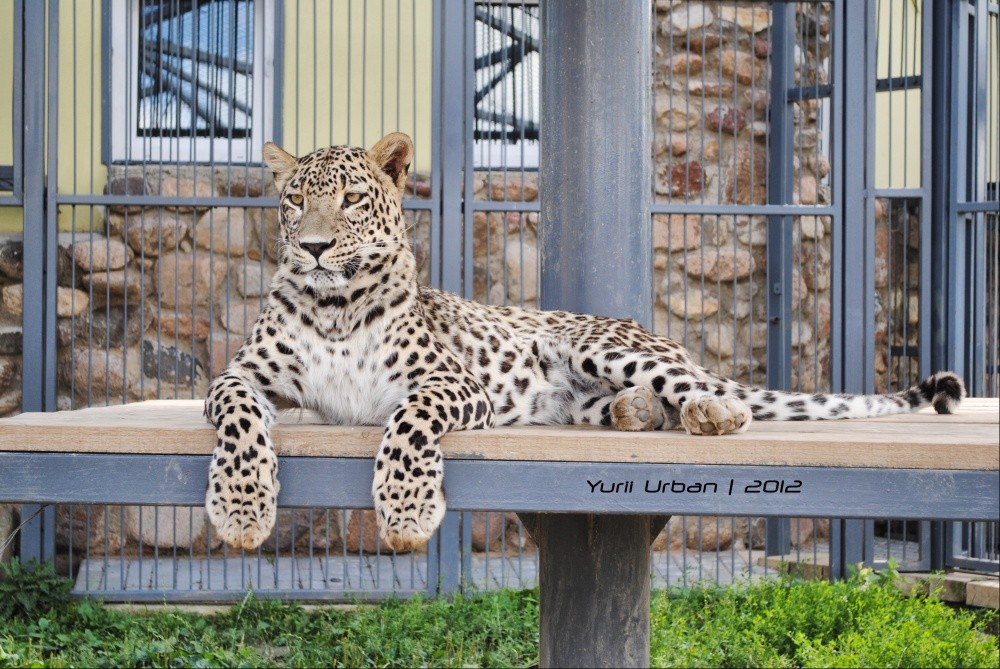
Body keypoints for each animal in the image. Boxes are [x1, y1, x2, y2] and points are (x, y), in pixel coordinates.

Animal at [204, 132, 967, 553]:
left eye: (352, 201)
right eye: (296, 201)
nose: (313, 247)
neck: (334, 306)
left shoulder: (450, 383)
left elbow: (408, 425)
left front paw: (408, 509)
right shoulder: (239, 376)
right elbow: (241, 421)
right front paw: (241, 509)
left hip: (600, 346)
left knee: (704, 390)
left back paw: (710, 413)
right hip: (576, 395)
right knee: (638, 404)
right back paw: (636, 413)